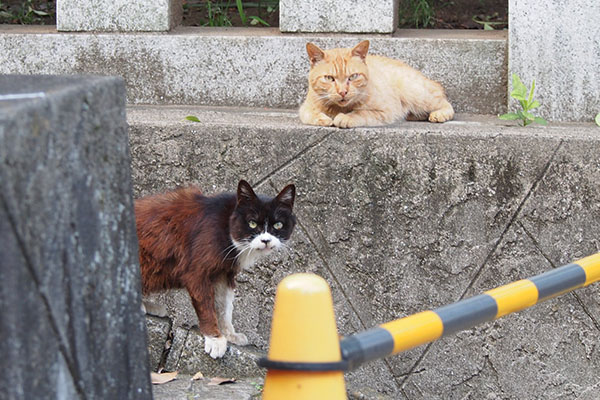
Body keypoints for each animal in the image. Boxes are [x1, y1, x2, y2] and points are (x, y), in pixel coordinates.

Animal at [300, 40, 454, 128]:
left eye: (353, 76)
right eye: (329, 78)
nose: (343, 92)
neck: (338, 108)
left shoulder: (387, 111)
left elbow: (361, 113)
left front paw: (345, 117)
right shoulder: (305, 107)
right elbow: (309, 114)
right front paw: (323, 118)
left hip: (417, 94)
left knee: (446, 104)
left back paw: (439, 114)